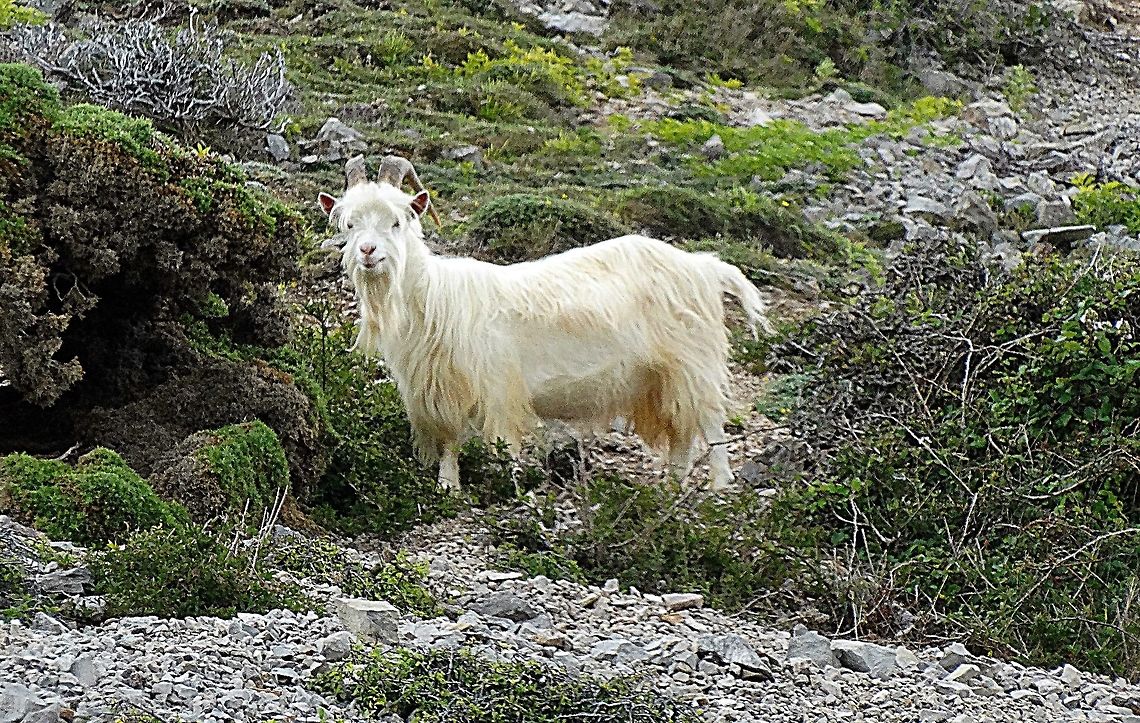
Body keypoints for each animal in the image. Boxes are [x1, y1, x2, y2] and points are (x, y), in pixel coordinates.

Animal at [318, 155, 774, 493]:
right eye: (350, 223)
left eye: (398, 221)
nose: (367, 252)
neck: (435, 297)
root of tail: (704, 267)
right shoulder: (440, 391)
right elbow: (450, 442)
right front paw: (449, 486)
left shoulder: (498, 387)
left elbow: (503, 446)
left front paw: (514, 490)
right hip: (661, 378)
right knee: (681, 436)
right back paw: (671, 489)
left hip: (694, 363)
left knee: (711, 424)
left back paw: (718, 486)